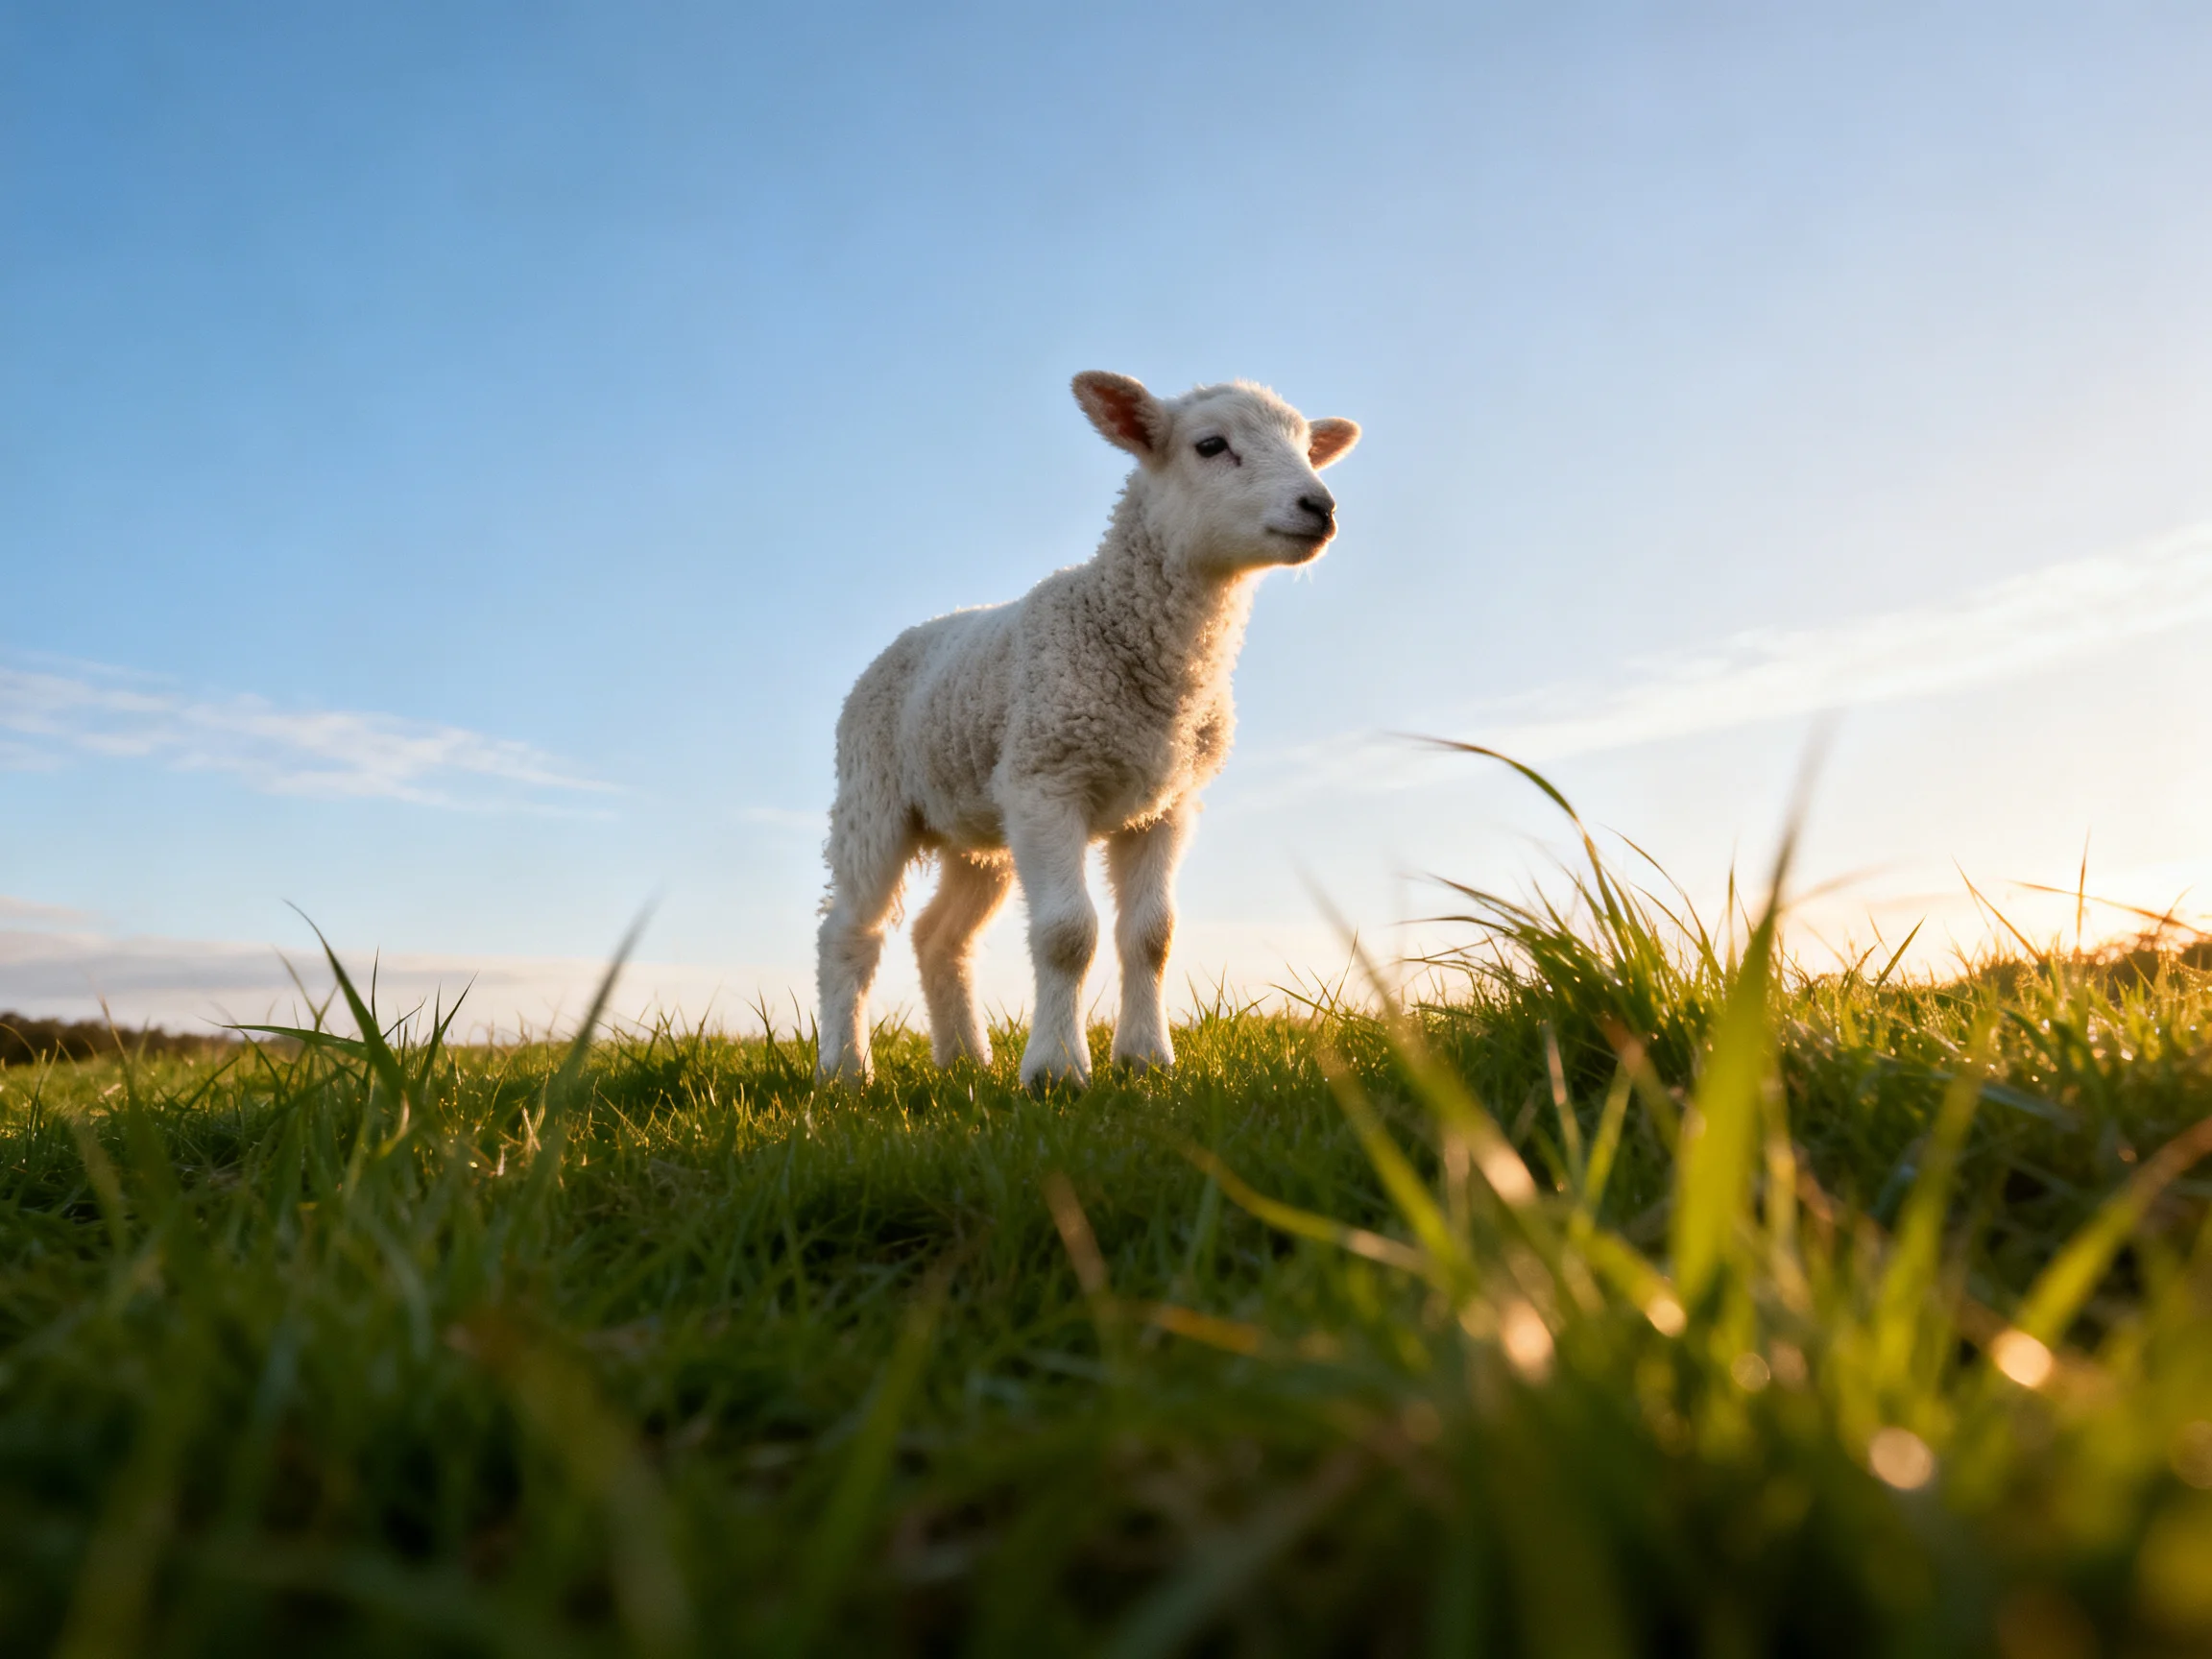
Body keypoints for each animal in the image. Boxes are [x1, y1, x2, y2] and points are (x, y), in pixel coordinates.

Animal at [815, 371, 1361, 1088]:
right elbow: (1067, 934)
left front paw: (1146, 1058)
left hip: (982, 827)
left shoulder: (1166, 804)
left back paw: (965, 1061)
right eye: (1210, 445)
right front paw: (1056, 1070)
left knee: (940, 937)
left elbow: (1153, 935)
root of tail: (922, 628)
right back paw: (845, 1068)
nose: (1320, 506)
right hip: (873, 796)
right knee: (849, 930)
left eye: (1306, 447)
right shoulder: (1050, 781)